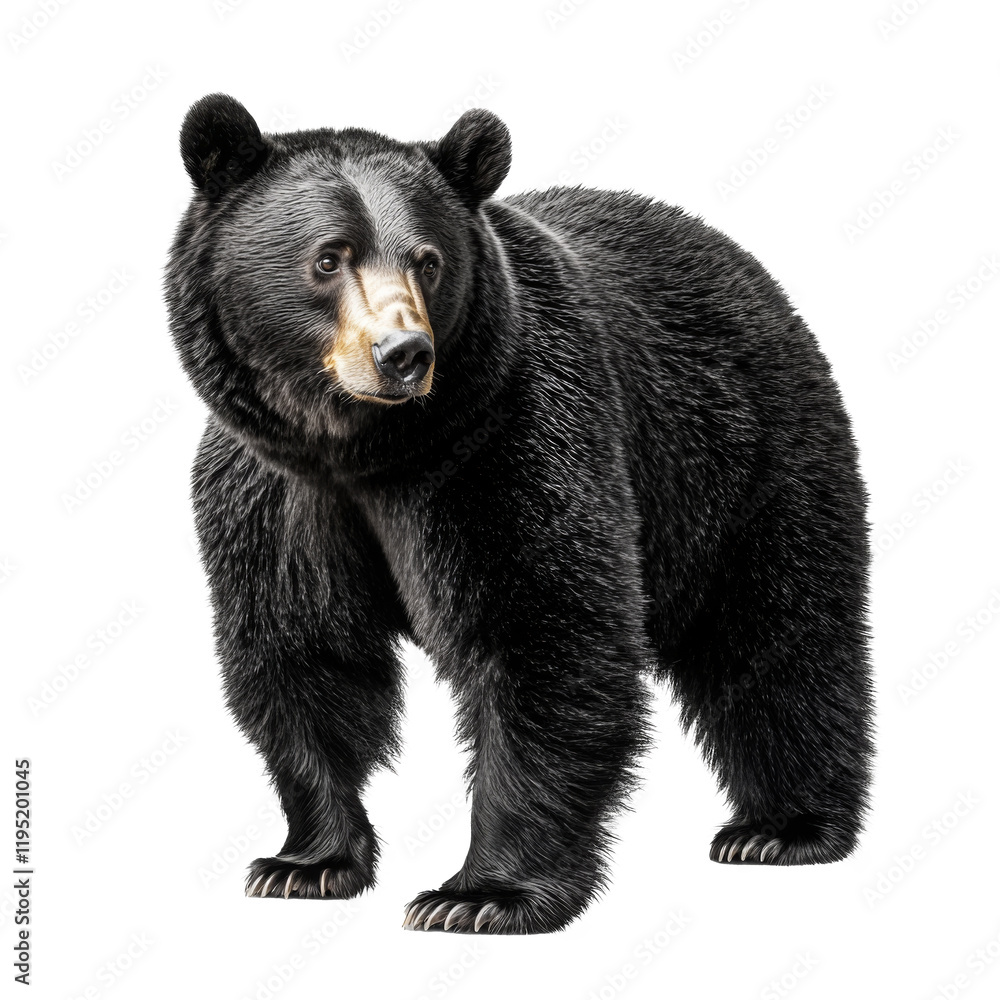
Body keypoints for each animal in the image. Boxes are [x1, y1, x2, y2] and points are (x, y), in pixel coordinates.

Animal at [166, 93, 875, 935]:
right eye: (329, 258)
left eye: (428, 260)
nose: (404, 354)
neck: (363, 451)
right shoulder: (274, 496)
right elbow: (302, 651)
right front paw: (306, 862)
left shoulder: (509, 436)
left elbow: (543, 629)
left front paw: (479, 894)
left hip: (743, 455)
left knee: (779, 630)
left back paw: (782, 827)